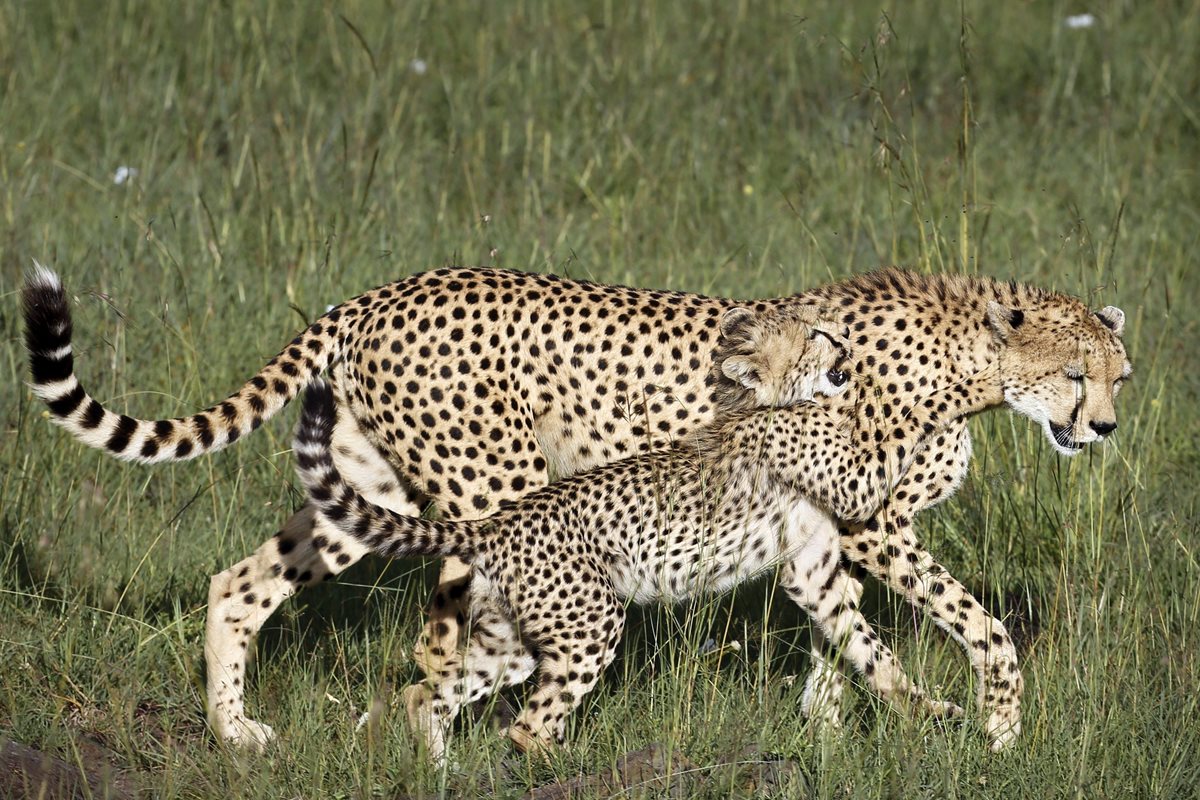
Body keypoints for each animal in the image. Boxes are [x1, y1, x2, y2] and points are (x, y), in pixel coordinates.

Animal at [22, 262, 1131, 752]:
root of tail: (381, 290)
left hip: (367, 486)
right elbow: (978, 625)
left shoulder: (828, 536)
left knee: (241, 583)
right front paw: (998, 724)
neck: (975, 361)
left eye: (1120, 373)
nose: (1108, 427)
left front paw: (834, 724)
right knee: (446, 639)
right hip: (498, 491)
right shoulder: (874, 524)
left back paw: (236, 728)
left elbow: (843, 633)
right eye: (1077, 374)